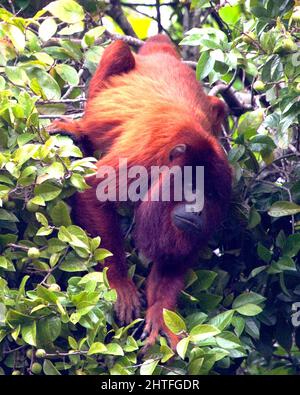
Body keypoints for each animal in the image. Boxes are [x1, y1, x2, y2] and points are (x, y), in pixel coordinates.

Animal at [48, 34, 232, 350]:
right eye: (192, 186)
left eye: (210, 196)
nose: (198, 210)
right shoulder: (148, 154)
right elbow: (94, 190)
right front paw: (120, 282)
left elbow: (178, 255)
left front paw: (161, 313)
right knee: (119, 48)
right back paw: (81, 131)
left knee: (219, 104)